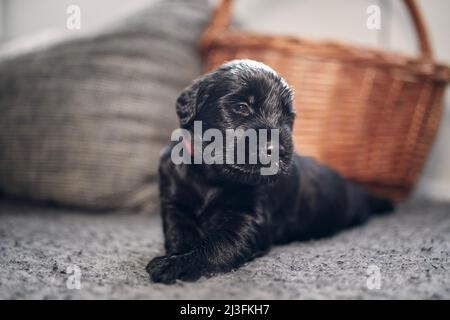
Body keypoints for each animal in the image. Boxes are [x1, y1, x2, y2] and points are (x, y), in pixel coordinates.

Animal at [146, 58, 392, 284]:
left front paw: (176, 265)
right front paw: (178, 255)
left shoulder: (248, 219)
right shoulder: (174, 203)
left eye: (288, 117)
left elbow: (217, 245)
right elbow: (179, 231)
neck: (211, 178)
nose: (278, 151)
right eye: (241, 107)